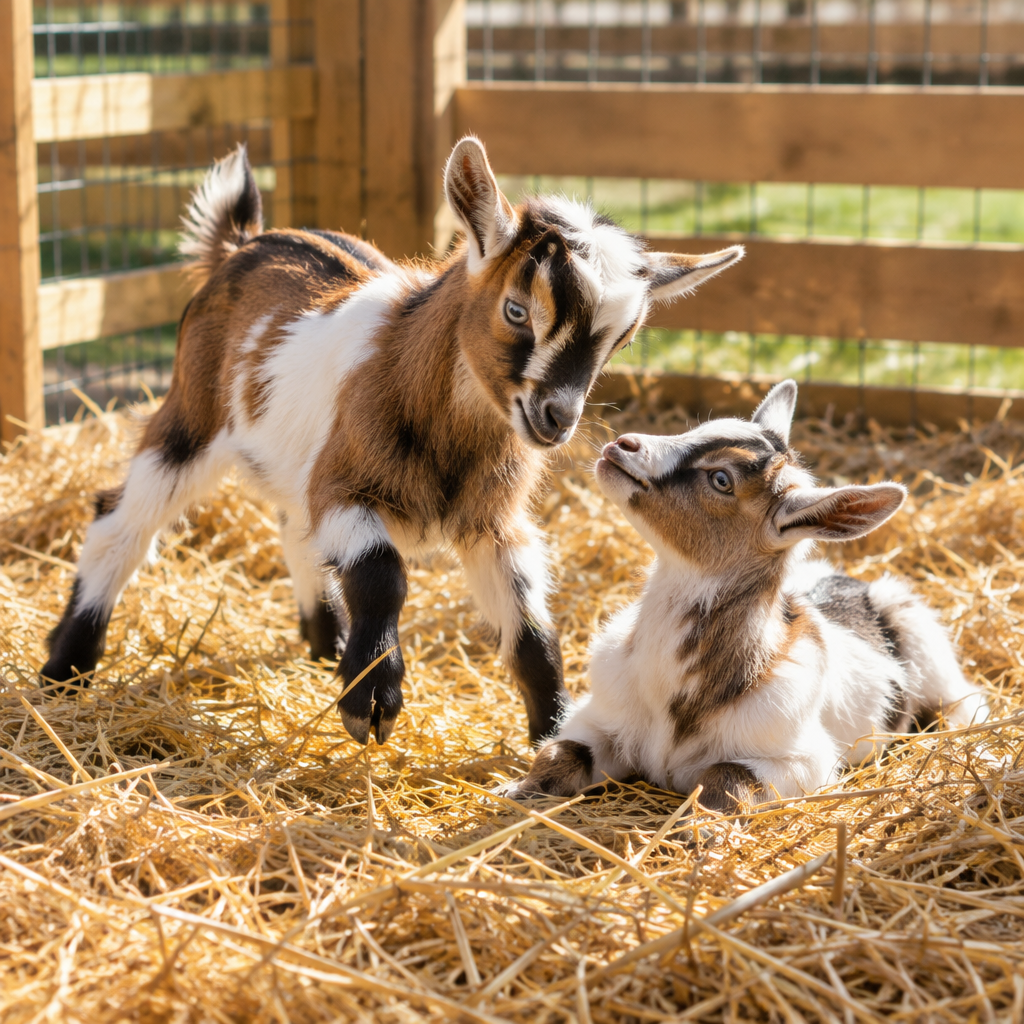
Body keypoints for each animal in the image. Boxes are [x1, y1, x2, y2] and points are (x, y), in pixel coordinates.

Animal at [40, 137, 744, 747]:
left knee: (293, 530)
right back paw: (64, 673)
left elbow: (529, 623)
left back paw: (326, 647)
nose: (557, 418)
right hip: (191, 418)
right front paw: (371, 700)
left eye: (621, 339)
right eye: (517, 310)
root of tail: (241, 245)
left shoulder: (491, 521)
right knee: (121, 522)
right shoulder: (346, 483)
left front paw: (553, 733)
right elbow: (382, 573)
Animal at [503, 380, 990, 808]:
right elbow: (561, 750)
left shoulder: (803, 762)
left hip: (919, 630)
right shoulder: (598, 718)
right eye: (695, 430)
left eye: (721, 479)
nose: (622, 444)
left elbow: (728, 774)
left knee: (962, 699)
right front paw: (518, 792)